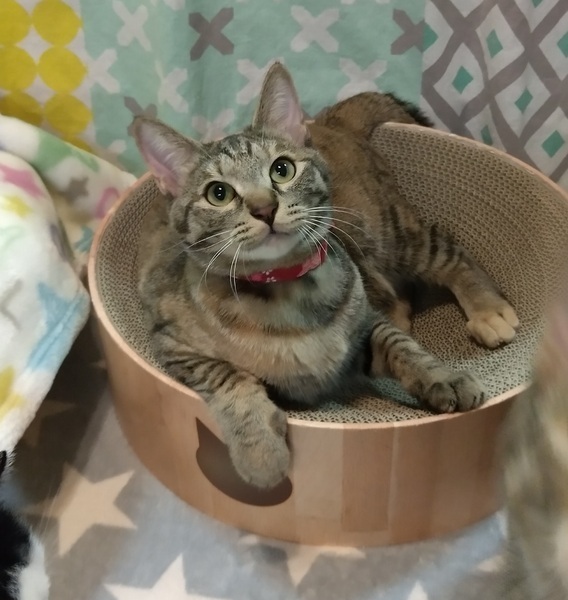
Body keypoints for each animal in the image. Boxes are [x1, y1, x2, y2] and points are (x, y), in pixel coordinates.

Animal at [132, 62, 518, 489]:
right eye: (219, 193)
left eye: (281, 169)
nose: (265, 208)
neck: (286, 291)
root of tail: (327, 122)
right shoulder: (172, 343)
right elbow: (227, 377)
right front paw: (259, 450)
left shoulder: (363, 325)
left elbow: (402, 347)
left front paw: (443, 376)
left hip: (385, 231)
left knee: (448, 252)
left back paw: (487, 308)